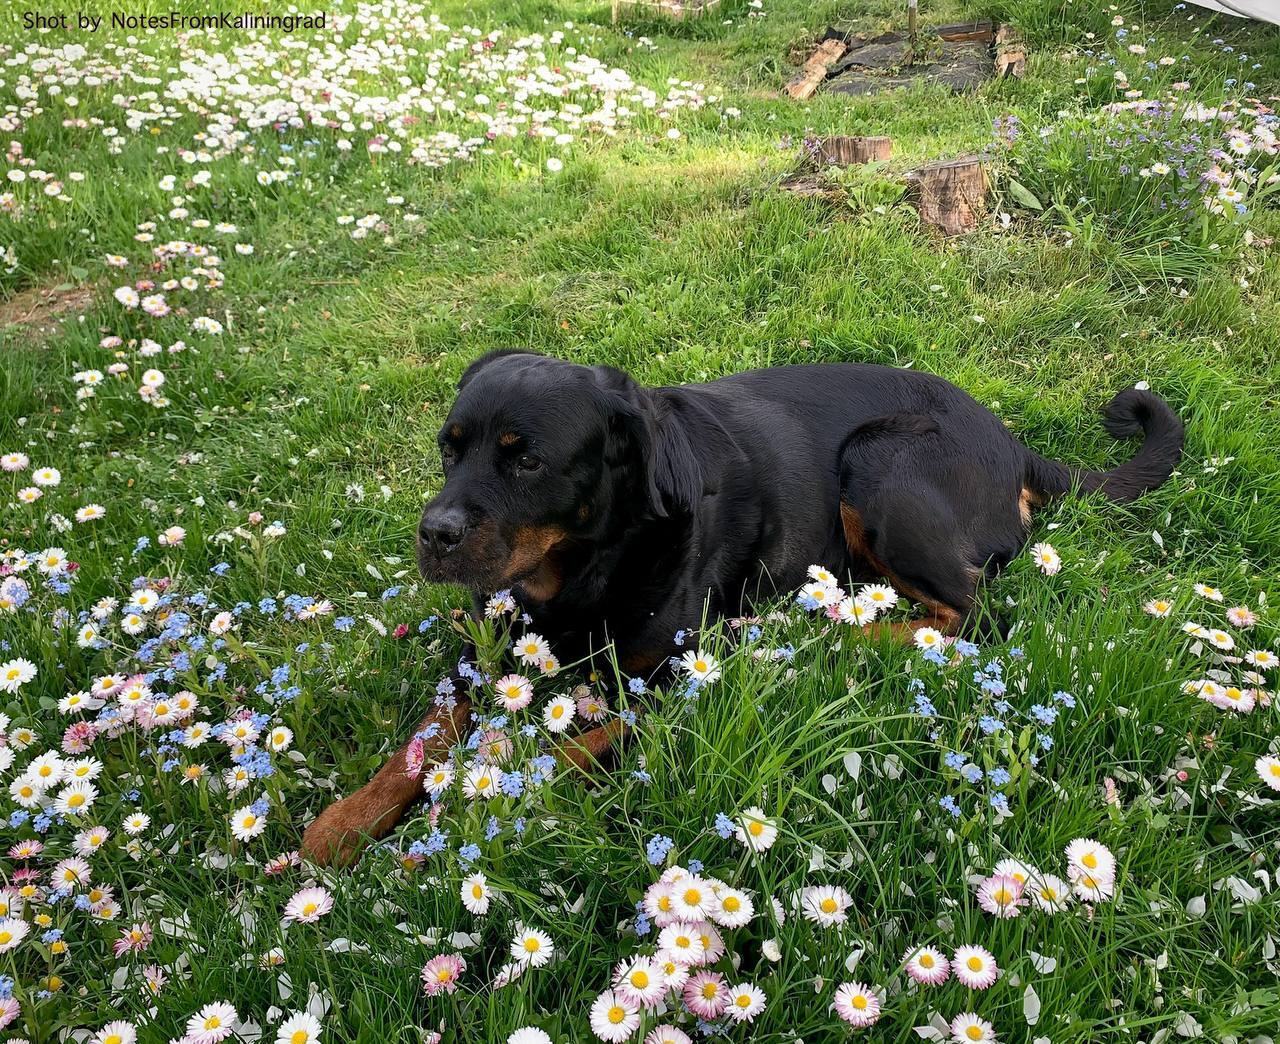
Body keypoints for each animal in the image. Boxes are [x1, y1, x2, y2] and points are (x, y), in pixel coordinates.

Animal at [299, 350, 1177, 864]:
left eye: (528, 461)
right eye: (449, 448)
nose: (435, 533)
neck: (583, 569)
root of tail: (1016, 445)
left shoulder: (669, 679)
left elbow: (572, 750)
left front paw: (469, 814)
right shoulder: (484, 645)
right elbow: (421, 738)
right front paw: (344, 822)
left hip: (882, 462)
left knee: (973, 618)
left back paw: (826, 635)